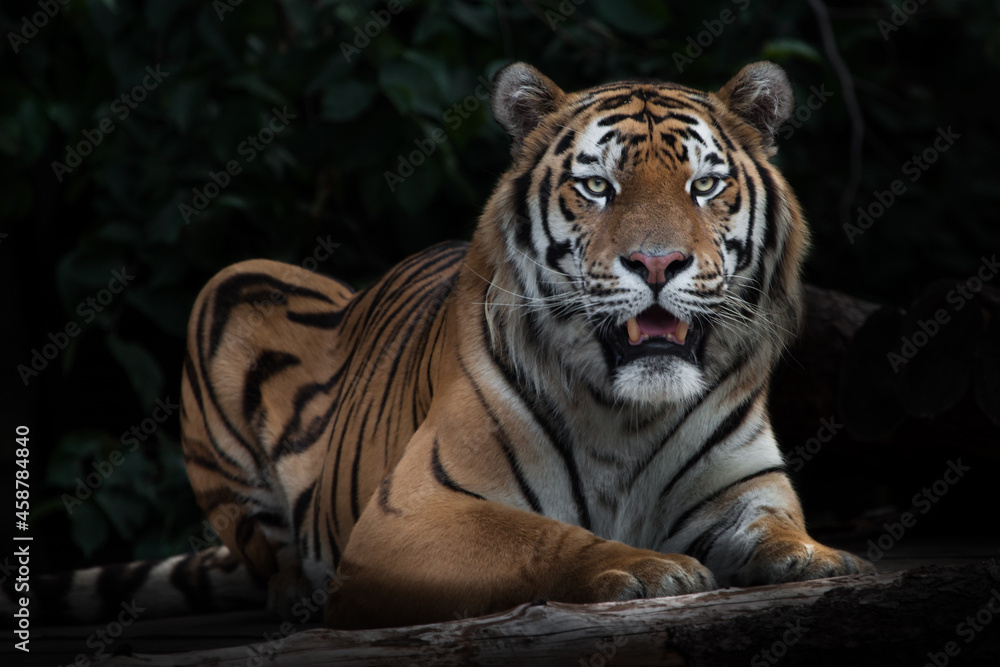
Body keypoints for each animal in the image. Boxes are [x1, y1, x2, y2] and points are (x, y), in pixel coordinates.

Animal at [12, 61, 874, 630]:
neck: (627, 413)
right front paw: (644, 566)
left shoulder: (746, 490)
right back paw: (299, 599)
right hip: (228, 286)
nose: (657, 264)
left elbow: (778, 529)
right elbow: (540, 535)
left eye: (705, 185)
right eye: (598, 187)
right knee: (269, 558)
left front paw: (822, 557)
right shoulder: (412, 511)